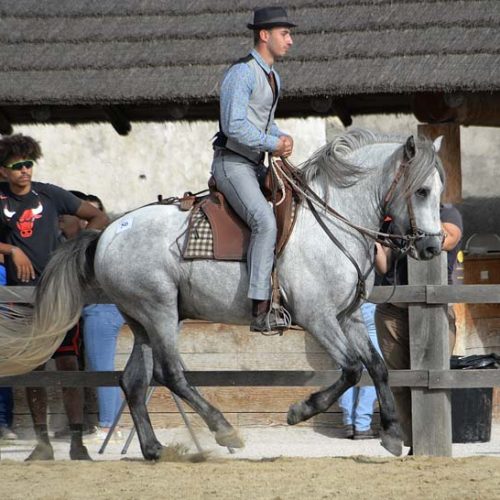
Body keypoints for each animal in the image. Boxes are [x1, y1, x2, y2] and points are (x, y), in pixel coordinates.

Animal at [0, 130, 444, 460]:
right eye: (422, 191)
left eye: (439, 191)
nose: (432, 248)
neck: (331, 222)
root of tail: (108, 232)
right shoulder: (317, 316)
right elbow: (352, 369)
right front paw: (300, 410)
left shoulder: (348, 317)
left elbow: (378, 367)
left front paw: (392, 434)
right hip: (159, 311)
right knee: (170, 375)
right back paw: (224, 430)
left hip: (142, 320)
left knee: (133, 381)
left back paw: (154, 448)